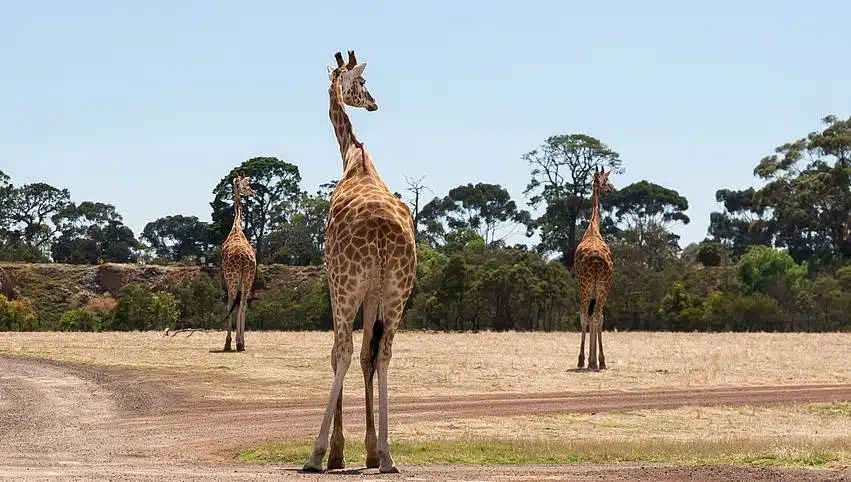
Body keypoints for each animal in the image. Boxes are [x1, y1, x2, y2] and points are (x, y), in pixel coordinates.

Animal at [302, 50, 418, 472]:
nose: (374, 102)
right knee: (382, 353)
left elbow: (339, 353)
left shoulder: (335, 281)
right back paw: (387, 455)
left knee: (344, 351)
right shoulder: (375, 293)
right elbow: (369, 355)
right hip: (398, 290)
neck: (356, 159)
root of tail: (384, 236)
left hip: (348, 284)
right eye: (364, 83)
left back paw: (316, 453)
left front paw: (336, 451)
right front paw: (369, 447)